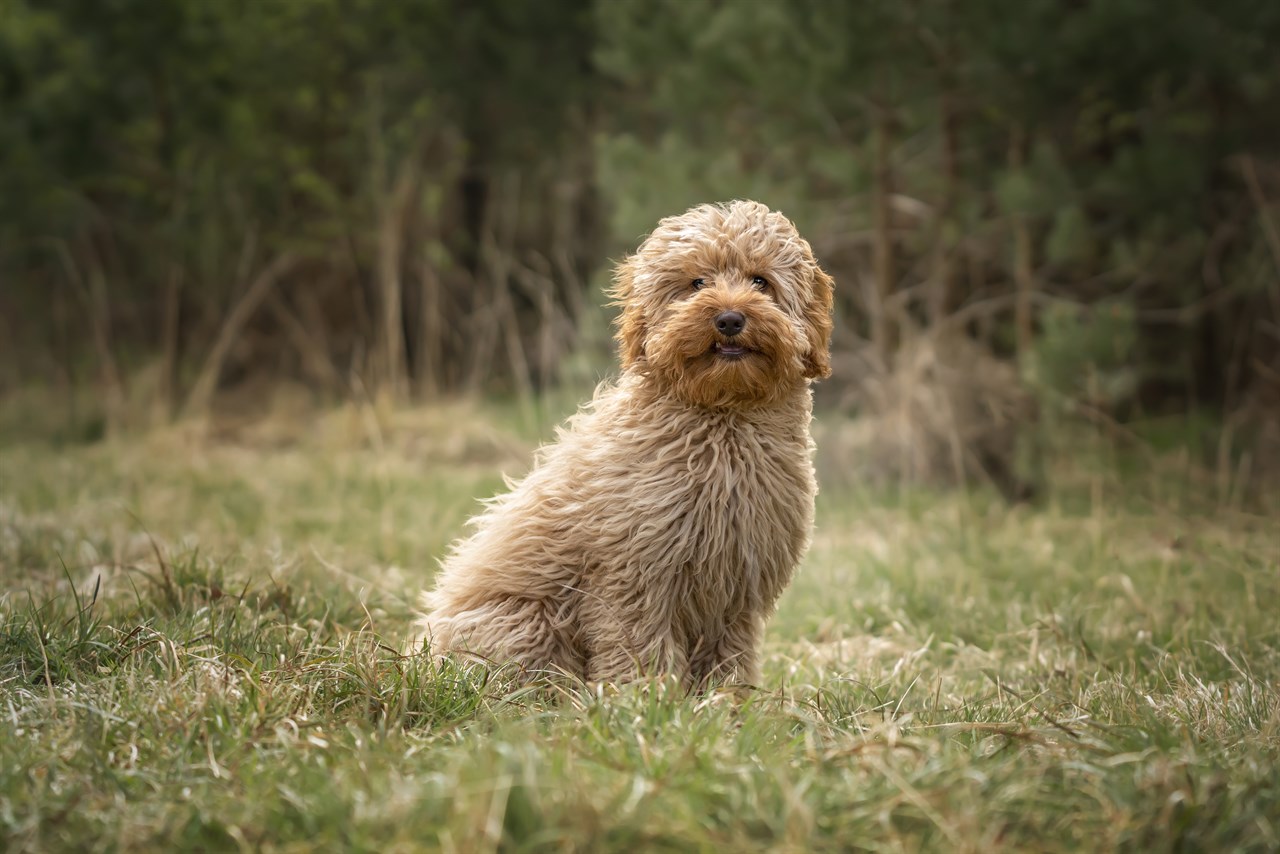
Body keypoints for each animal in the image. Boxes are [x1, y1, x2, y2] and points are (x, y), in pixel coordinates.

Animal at [414, 201, 834, 686]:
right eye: (697, 283)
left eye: (760, 281)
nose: (729, 319)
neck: (722, 421)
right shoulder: (633, 572)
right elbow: (638, 644)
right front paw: (645, 694)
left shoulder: (738, 585)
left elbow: (730, 651)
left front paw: (729, 697)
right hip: (524, 619)